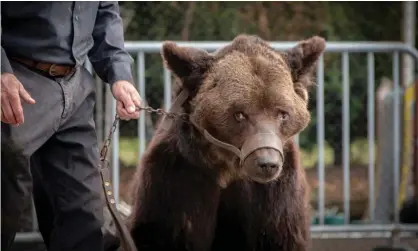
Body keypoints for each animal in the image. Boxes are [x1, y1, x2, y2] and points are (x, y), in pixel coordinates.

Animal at [105, 34, 326, 251]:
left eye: (282, 114)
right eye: (240, 114)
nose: (267, 163)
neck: (227, 169)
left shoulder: (275, 195)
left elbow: (279, 236)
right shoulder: (176, 180)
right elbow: (164, 233)